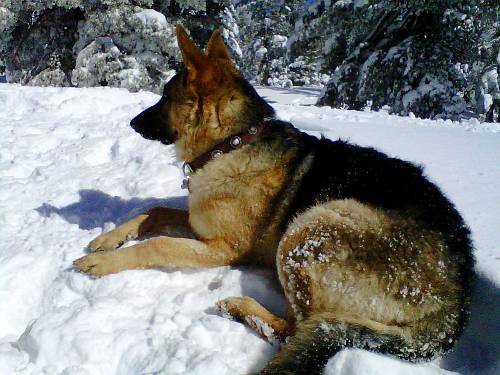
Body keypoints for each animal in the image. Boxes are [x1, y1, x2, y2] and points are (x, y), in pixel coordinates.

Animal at [74, 25, 472, 374]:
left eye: (165, 97)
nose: (132, 123)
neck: (231, 143)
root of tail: (456, 304)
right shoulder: (197, 222)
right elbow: (153, 212)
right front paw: (108, 239)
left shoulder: (222, 248)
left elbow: (157, 244)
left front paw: (104, 262)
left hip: (311, 227)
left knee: (295, 328)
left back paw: (239, 305)